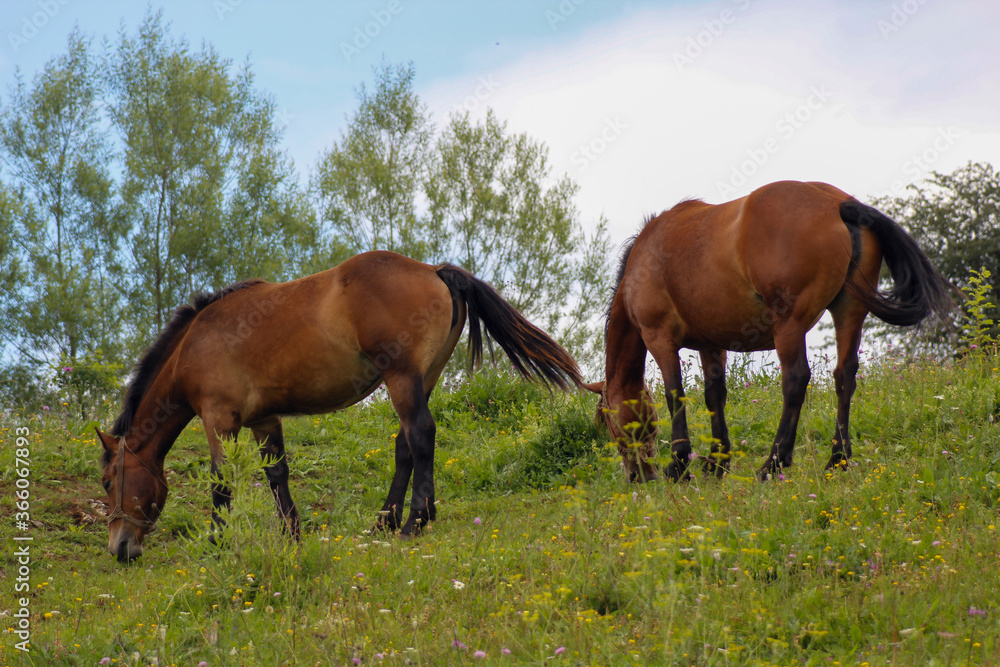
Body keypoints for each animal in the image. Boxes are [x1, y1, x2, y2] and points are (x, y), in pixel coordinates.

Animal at [97, 252, 584, 564]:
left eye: (107, 482)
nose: (120, 549)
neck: (194, 345)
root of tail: (431, 269)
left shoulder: (219, 419)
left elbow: (220, 483)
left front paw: (216, 543)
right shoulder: (263, 421)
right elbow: (278, 475)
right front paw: (292, 535)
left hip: (402, 378)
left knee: (420, 436)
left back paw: (415, 521)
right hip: (422, 379)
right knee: (404, 445)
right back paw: (385, 521)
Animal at [584, 183, 952, 486]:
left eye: (609, 424)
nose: (638, 476)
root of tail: (839, 204)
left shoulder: (659, 338)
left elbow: (676, 395)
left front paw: (679, 466)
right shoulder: (711, 344)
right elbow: (715, 395)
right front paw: (716, 463)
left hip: (789, 324)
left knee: (796, 380)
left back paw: (773, 464)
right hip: (850, 312)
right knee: (844, 377)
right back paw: (837, 461)